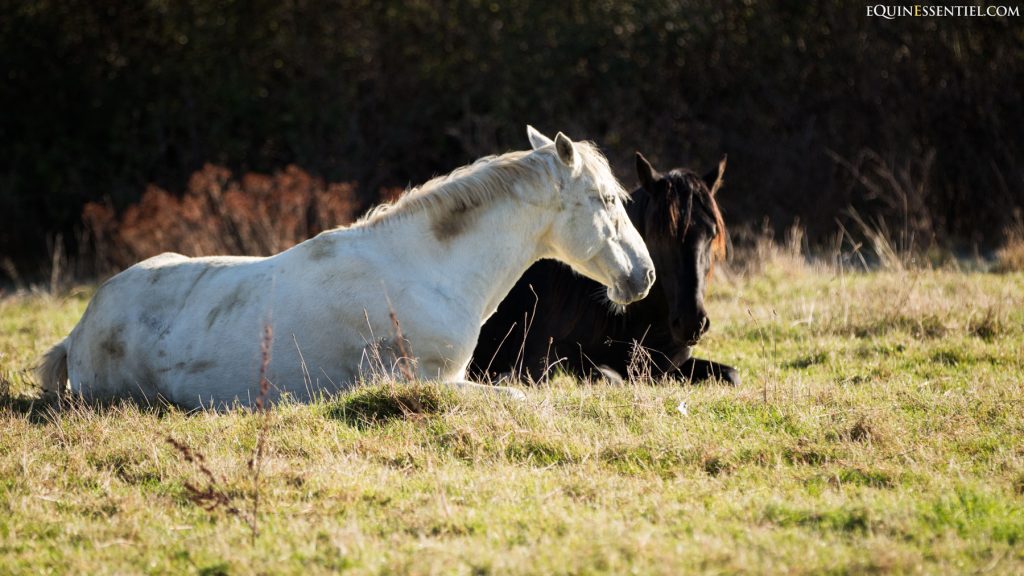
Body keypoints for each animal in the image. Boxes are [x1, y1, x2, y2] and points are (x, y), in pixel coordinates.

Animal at [38, 129, 656, 409]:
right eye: (605, 199)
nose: (644, 276)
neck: (425, 271)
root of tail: (79, 330)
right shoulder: (426, 381)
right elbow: (524, 398)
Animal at [472, 127, 739, 385]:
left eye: (712, 233)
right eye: (658, 235)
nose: (691, 323)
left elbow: (732, 374)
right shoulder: (542, 355)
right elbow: (611, 377)